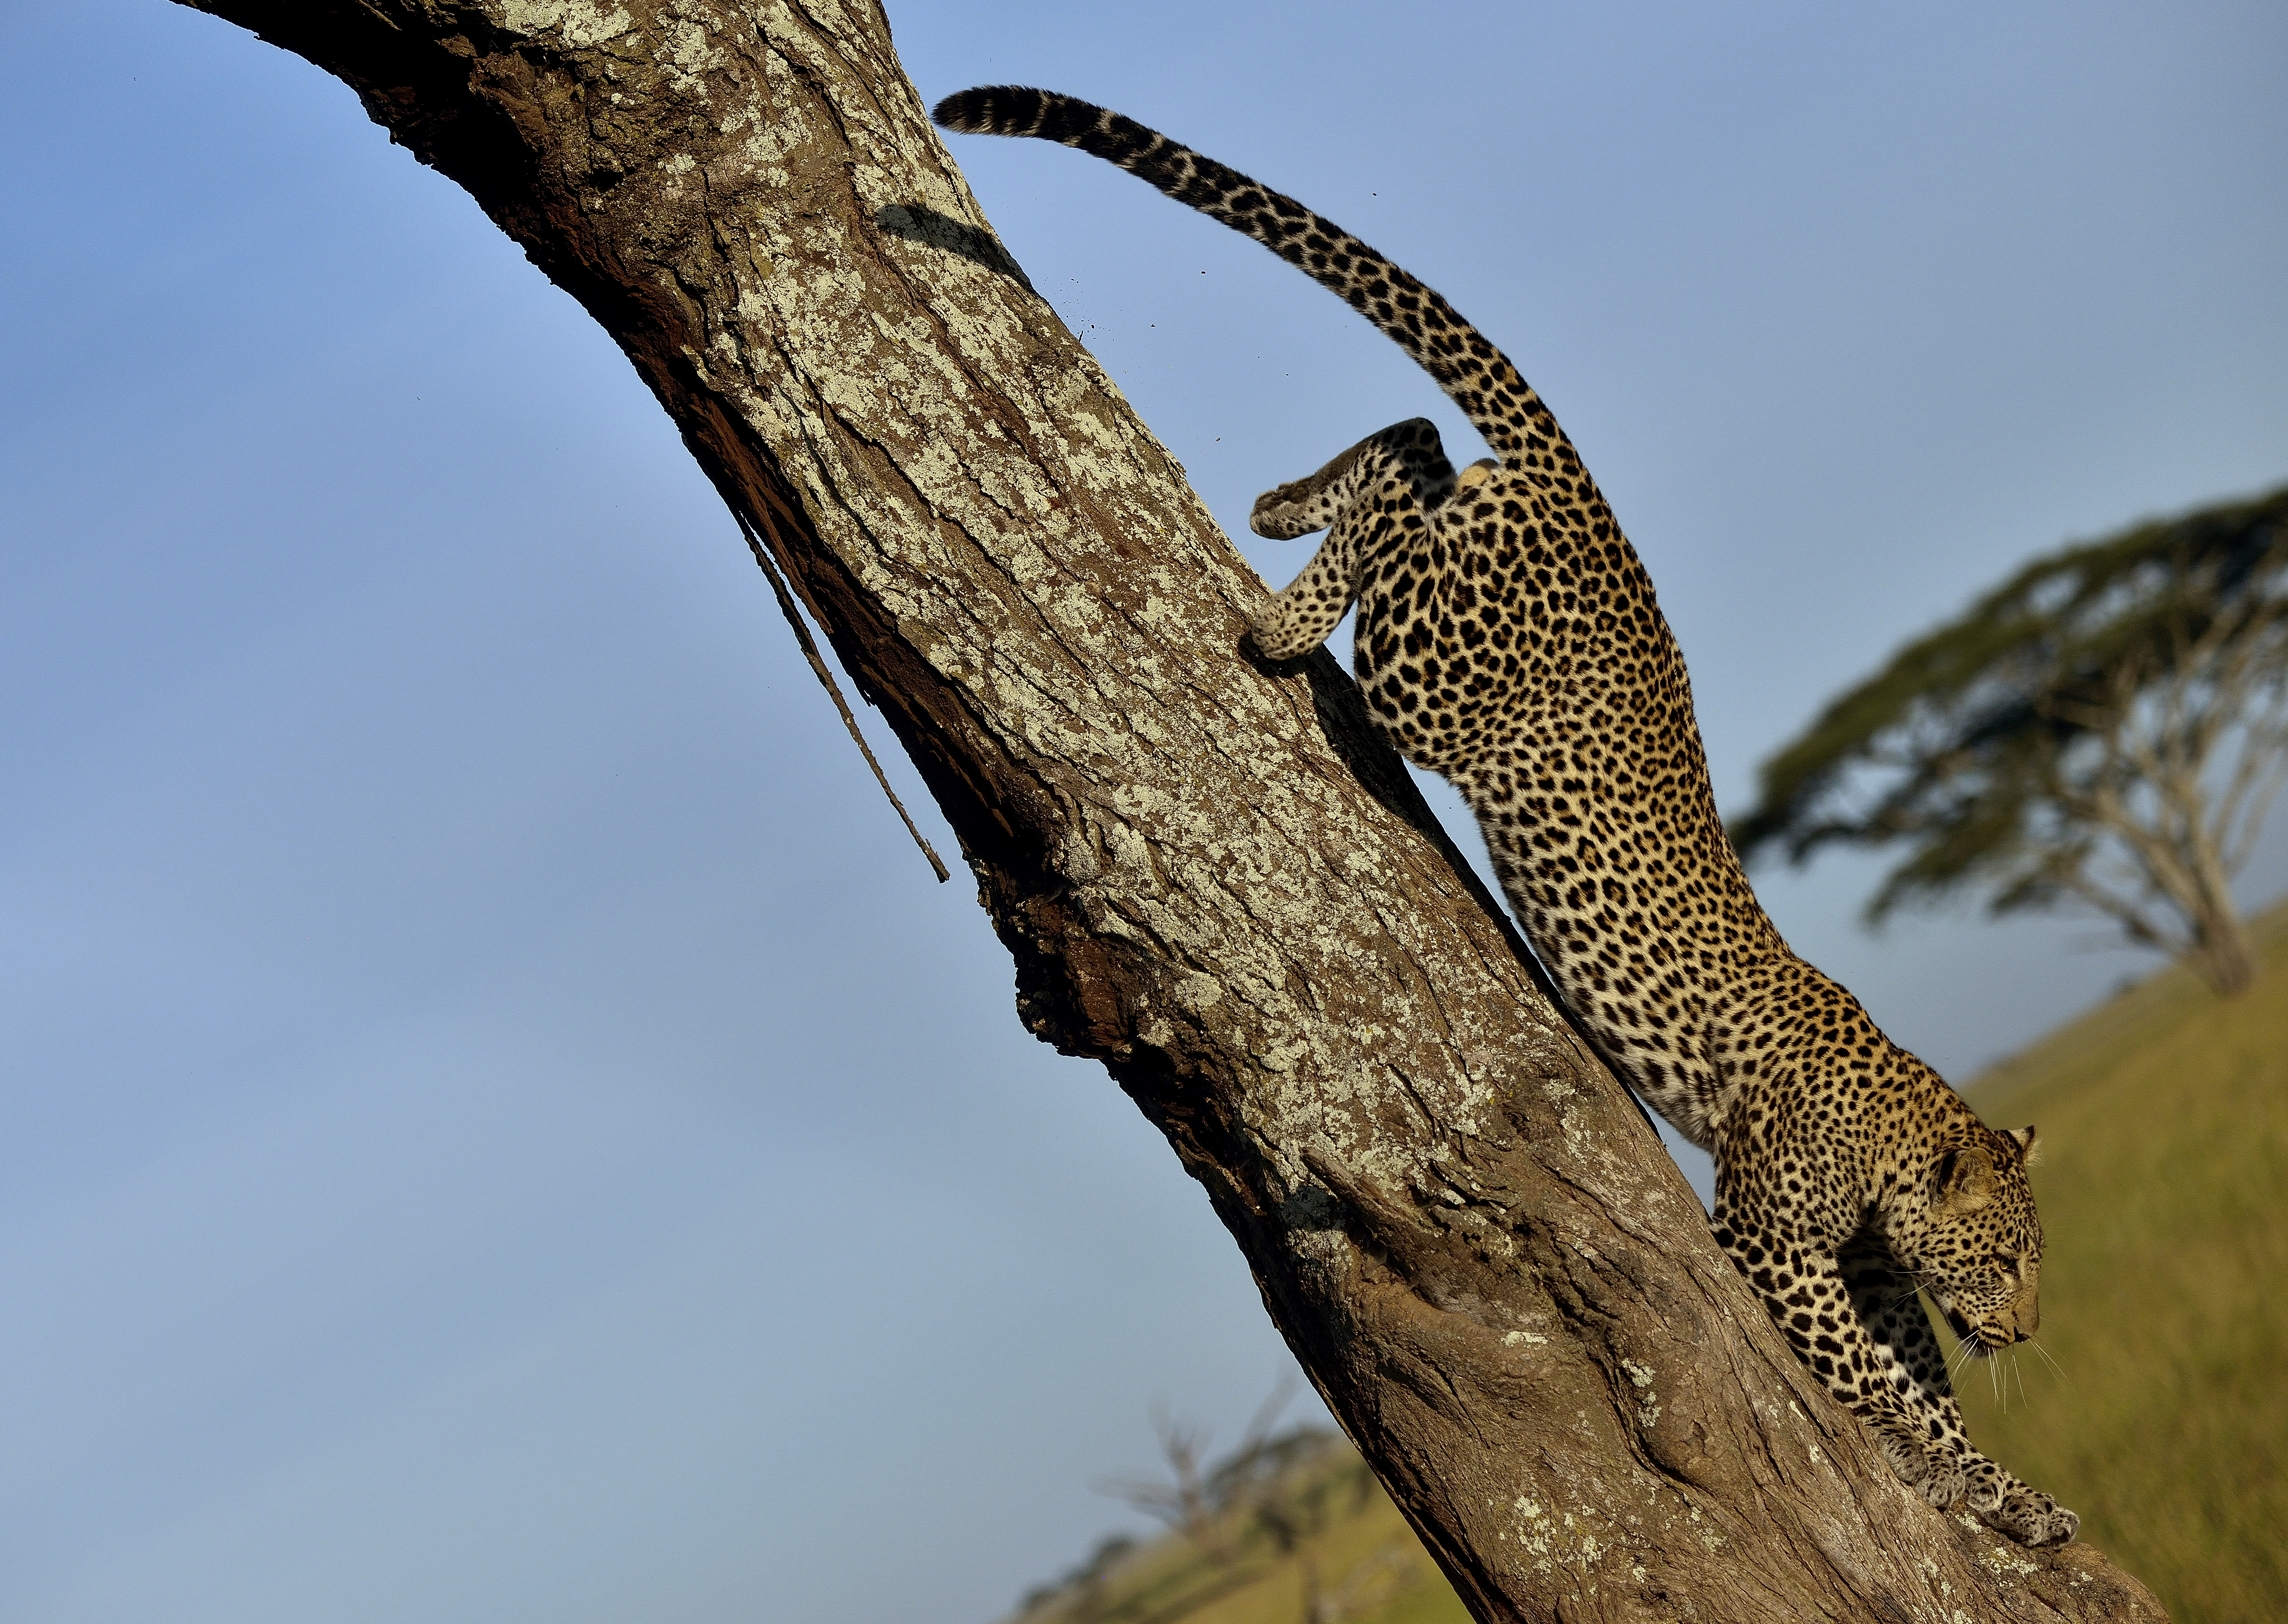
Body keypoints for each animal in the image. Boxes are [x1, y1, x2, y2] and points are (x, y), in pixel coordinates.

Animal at [935, 86, 2077, 1546]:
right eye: (2002, 1255)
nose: (2029, 1330)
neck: (1892, 1125)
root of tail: (1589, 499)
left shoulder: (1864, 1265)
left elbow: (1914, 1373)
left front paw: (2002, 1490)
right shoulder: (1773, 1237)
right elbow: (1882, 1387)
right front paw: (1974, 1481)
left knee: (1418, 442)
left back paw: (1276, 504)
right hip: (1433, 677)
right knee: (1396, 504)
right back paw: (1282, 607)